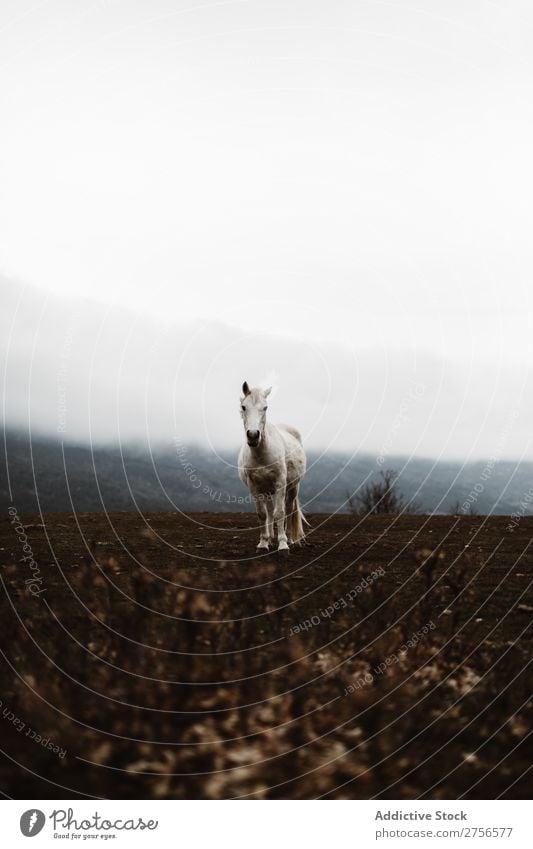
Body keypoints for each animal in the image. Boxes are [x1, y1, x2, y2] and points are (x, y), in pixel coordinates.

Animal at [238, 380, 308, 552]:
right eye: (244, 407)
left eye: (265, 407)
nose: (253, 435)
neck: (261, 454)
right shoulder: (254, 487)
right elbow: (262, 514)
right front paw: (263, 543)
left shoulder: (280, 483)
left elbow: (280, 513)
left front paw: (283, 545)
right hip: (267, 489)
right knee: (269, 511)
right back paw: (270, 539)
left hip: (293, 487)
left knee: (288, 509)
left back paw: (291, 540)